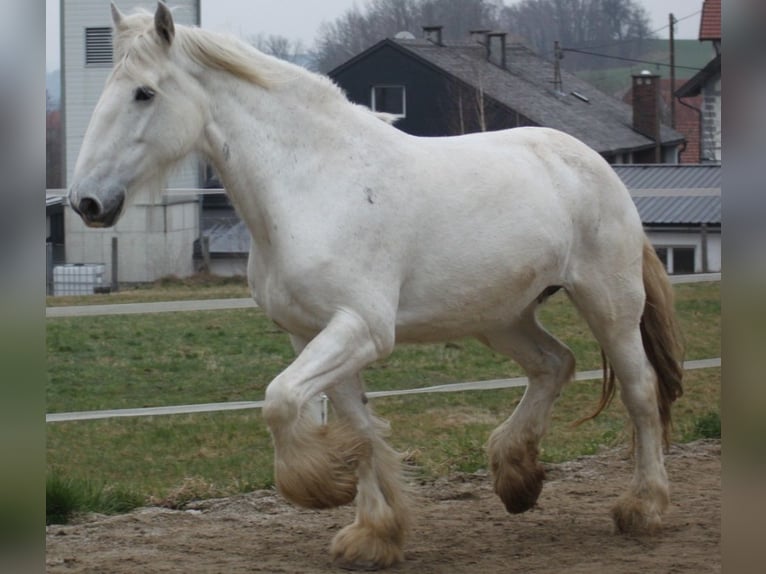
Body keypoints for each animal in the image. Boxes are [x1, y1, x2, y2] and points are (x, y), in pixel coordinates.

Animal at [68, 3, 684, 569]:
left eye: (144, 93)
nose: (87, 202)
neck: (314, 185)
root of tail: (592, 162)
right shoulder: (310, 334)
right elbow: (357, 427)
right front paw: (374, 533)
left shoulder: (360, 328)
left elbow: (281, 401)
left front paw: (322, 489)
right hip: (501, 316)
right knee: (553, 364)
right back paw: (517, 478)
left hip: (609, 303)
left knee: (639, 391)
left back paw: (644, 507)